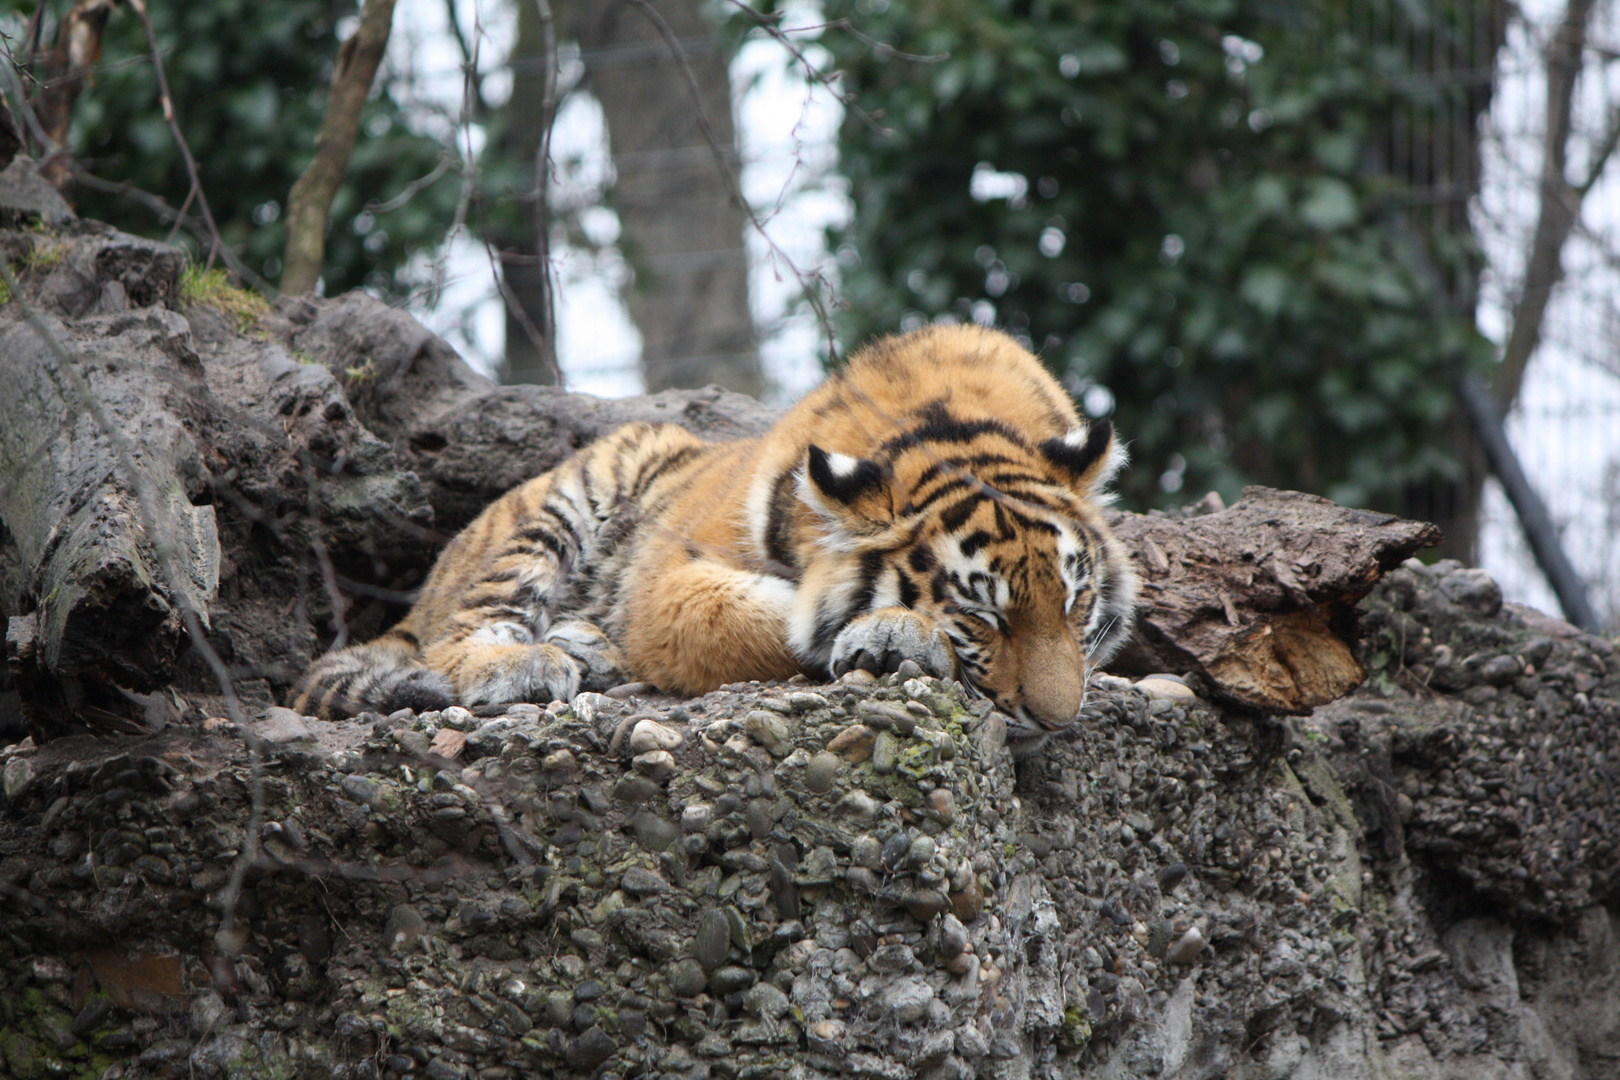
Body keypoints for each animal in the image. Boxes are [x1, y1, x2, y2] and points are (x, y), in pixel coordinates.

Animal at [298, 325, 1146, 748]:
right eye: (984, 615)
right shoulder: (667, 580)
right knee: (461, 635)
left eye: (1074, 606)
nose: (1058, 720)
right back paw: (529, 663)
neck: (942, 421)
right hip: (568, 499)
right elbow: (756, 620)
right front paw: (892, 630)